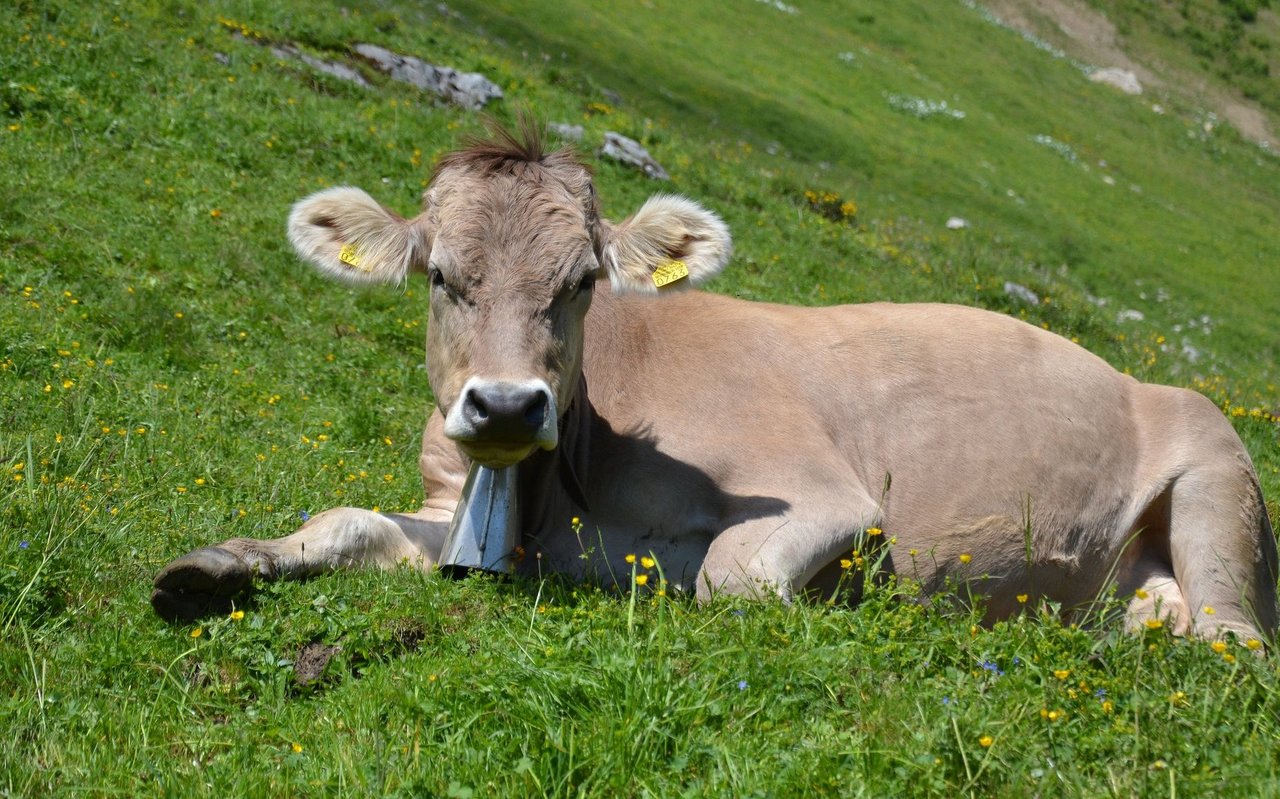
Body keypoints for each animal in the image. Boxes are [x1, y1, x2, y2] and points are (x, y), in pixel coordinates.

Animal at [152, 120, 1280, 642]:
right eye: (440, 274)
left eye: (579, 282)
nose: (508, 403)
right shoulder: (455, 509)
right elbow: (342, 520)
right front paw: (212, 566)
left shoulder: (824, 495)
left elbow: (730, 579)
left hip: (1216, 471)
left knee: (1234, 639)